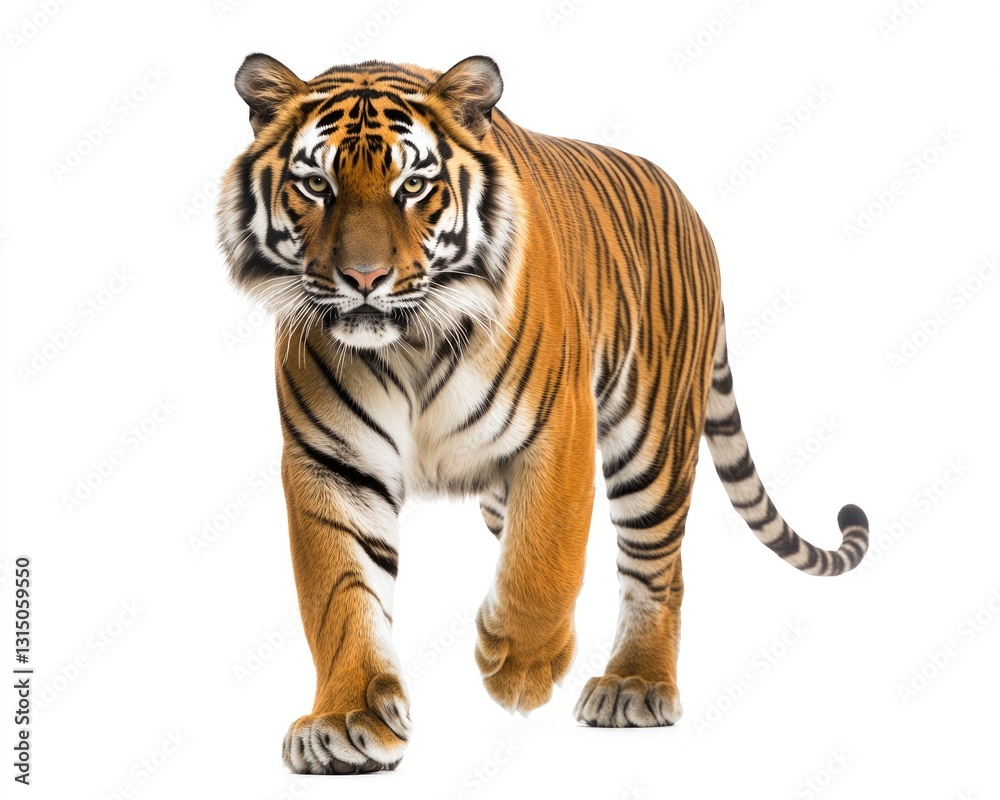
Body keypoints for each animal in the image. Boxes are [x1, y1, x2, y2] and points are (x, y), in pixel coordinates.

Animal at [217, 53, 870, 775]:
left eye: (414, 185)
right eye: (316, 184)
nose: (364, 279)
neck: (410, 341)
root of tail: (688, 205)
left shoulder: (558, 429)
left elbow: (546, 560)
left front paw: (520, 667)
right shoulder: (332, 463)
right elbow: (340, 594)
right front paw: (348, 721)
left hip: (655, 441)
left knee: (657, 566)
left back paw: (636, 683)